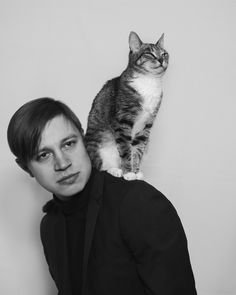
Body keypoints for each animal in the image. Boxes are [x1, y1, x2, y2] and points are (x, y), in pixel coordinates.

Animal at [84, 31, 168, 180]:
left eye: (164, 53)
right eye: (150, 54)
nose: (161, 60)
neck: (149, 82)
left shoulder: (146, 126)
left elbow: (138, 150)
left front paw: (136, 172)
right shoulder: (123, 121)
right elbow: (125, 149)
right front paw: (128, 173)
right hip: (98, 145)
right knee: (99, 166)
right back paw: (115, 170)